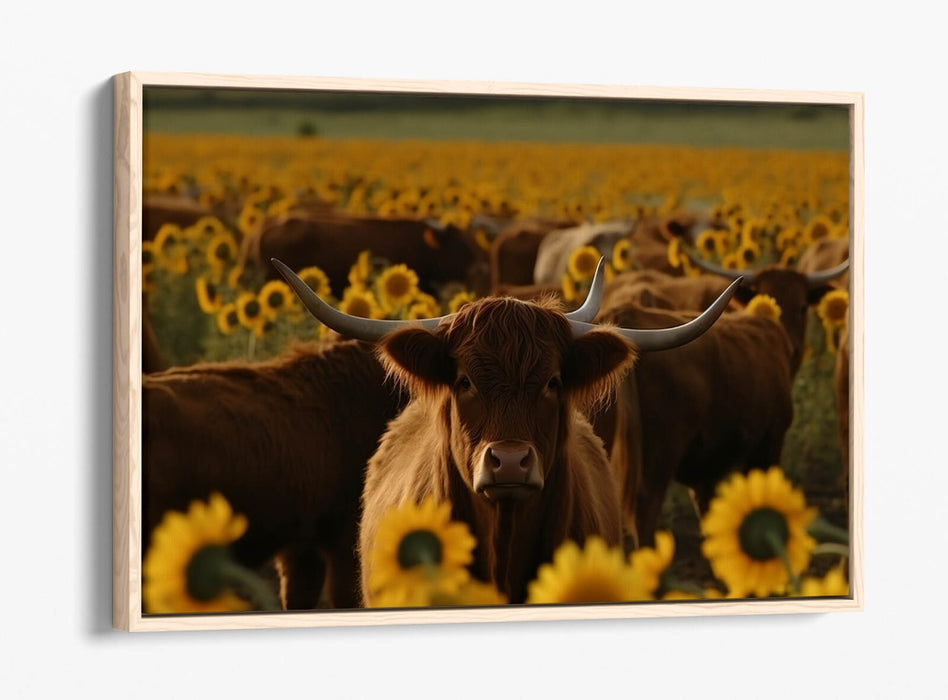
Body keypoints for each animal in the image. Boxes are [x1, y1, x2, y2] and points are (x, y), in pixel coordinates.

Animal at [596, 255, 850, 548]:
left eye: (801, 306)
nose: (795, 347)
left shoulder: (706, 474)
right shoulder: (768, 446)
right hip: (655, 463)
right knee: (644, 517)